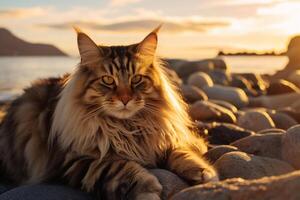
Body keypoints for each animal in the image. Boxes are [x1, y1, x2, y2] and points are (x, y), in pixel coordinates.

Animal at [0, 26, 217, 200]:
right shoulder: (71, 160)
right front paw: (148, 188)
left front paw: (204, 172)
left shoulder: (163, 139)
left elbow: (181, 152)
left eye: (136, 79)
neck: (127, 128)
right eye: (108, 80)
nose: (125, 99)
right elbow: (116, 167)